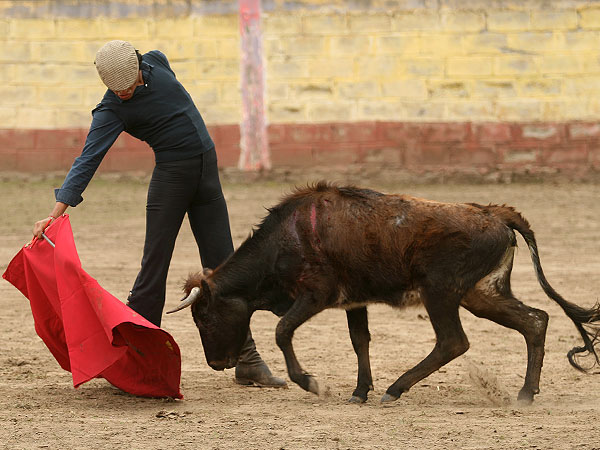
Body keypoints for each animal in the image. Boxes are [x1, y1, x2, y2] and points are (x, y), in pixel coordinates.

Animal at [165, 183, 600, 404]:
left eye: (203, 316)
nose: (217, 363)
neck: (287, 239)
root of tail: (493, 212)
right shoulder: (353, 302)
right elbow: (360, 341)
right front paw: (359, 391)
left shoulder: (316, 295)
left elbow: (282, 331)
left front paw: (312, 383)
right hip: (480, 294)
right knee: (535, 321)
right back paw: (525, 393)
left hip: (440, 291)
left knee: (453, 341)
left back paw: (396, 389)